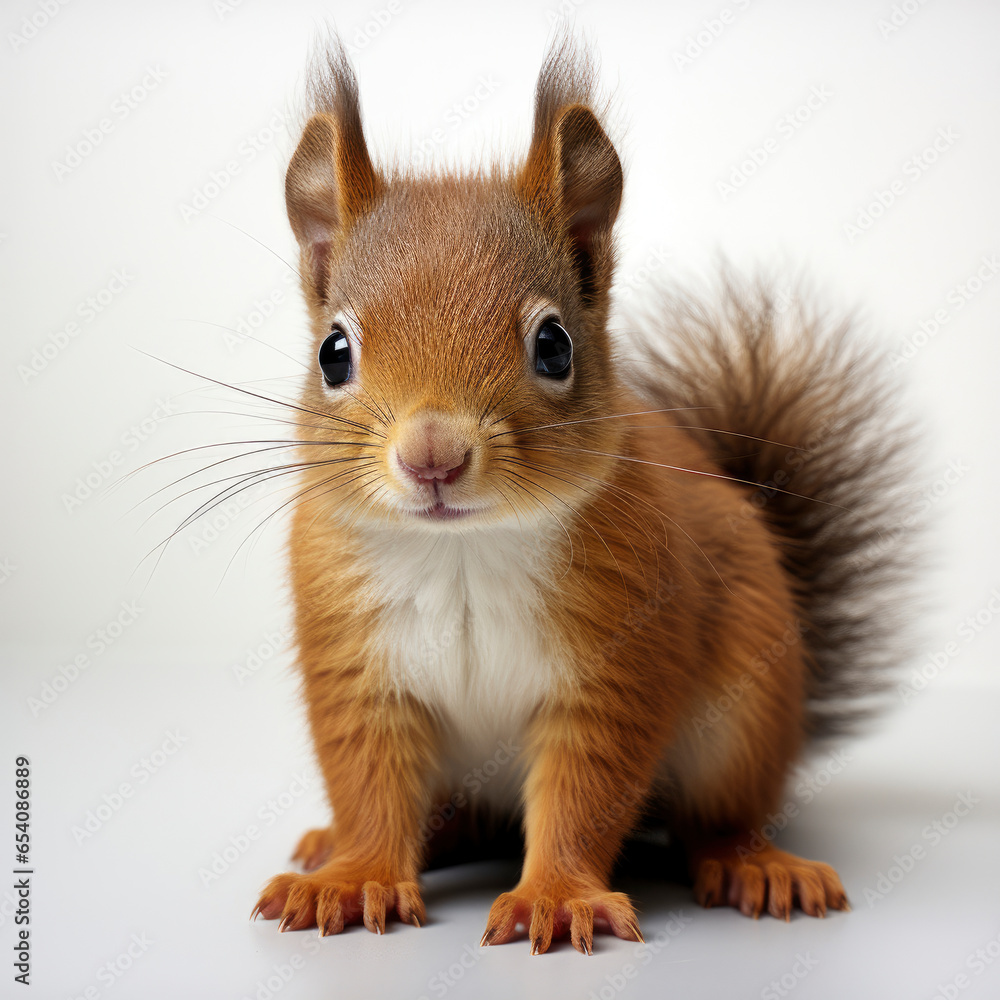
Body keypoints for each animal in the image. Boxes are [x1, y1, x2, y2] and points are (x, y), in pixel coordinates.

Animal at [250, 37, 916, 952]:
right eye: (334, 352)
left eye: (555, 345)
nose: (432, 457)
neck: (462, 552)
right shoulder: (356, 666)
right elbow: (369, 785)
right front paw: (355, 877)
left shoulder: (618, 655)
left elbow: (585, 791)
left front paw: (558, 898)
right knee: (451, 816)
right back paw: (350, 844)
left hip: (741, 721)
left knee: (713, 818)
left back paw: (755, 864)